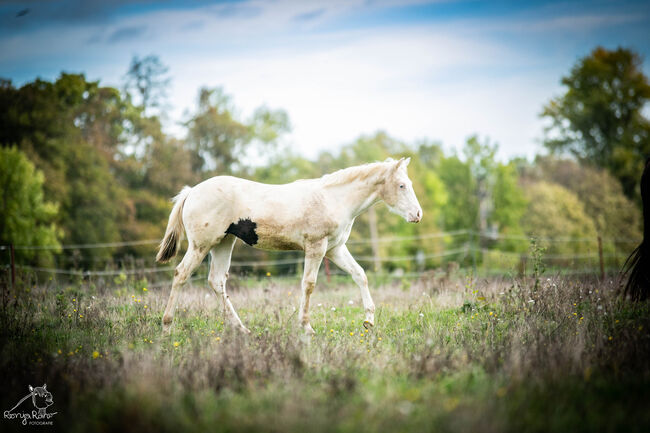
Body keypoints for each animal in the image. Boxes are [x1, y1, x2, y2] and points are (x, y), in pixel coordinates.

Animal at [156, 158, 420, 334]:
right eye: (402, 185)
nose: (418, 215)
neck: (333, 199)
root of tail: (192, 191)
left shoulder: (335, 249)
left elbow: (360, 275)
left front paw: (369, 321)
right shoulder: (316, 247)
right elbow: (309, 285)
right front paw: (306, 327)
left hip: (223, 243)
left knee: (216, 281)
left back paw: (242, 329)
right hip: (201, 245)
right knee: (181, 274)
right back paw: (167, 327)